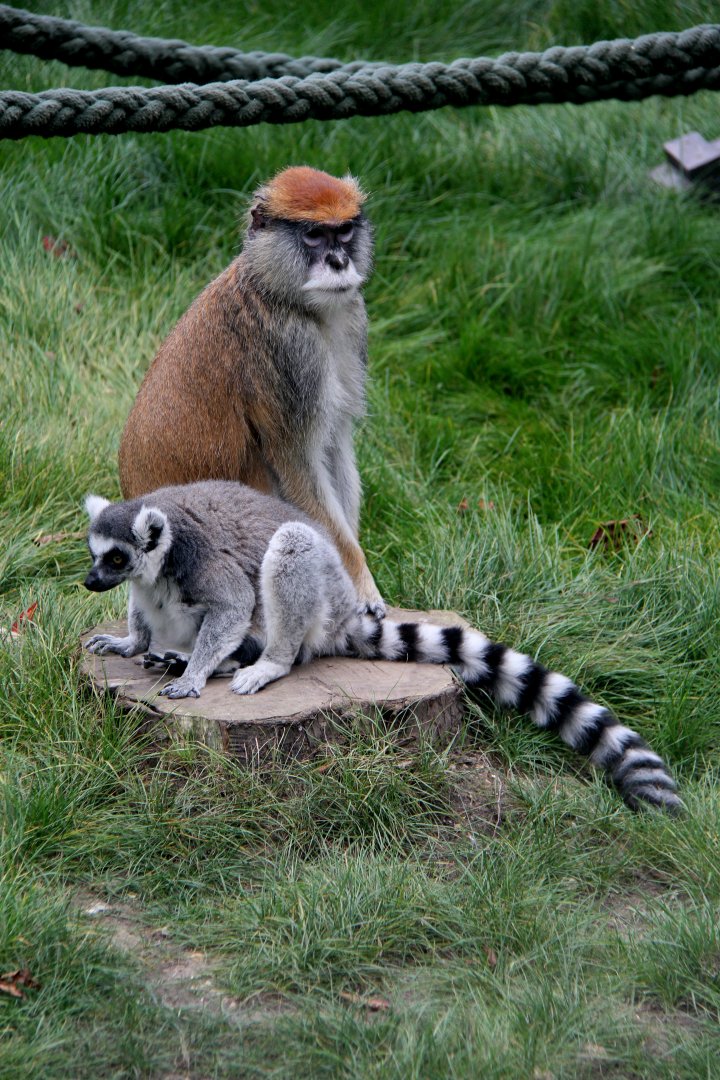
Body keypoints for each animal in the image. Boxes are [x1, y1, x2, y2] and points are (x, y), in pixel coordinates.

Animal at [83, 481, 681, 812]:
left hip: (319, 598)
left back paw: (259, 663)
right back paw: (179, 653)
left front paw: (194, 677)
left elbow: (230, 605)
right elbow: (141, 610)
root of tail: (349, 608)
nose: (90, 582)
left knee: (290, 569)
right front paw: (130, 642)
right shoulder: (150, 582)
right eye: (94, 555)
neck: (162, 558)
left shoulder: (203, 560)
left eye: (115, 557)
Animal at [118, 165, 384, 617]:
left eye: (345, 231)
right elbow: (297, 463)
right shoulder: (289, 351)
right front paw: (360, 586)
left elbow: (334, 445)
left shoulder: (351, 320)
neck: (276, 289)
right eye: (314, 235)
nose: (339, 261)